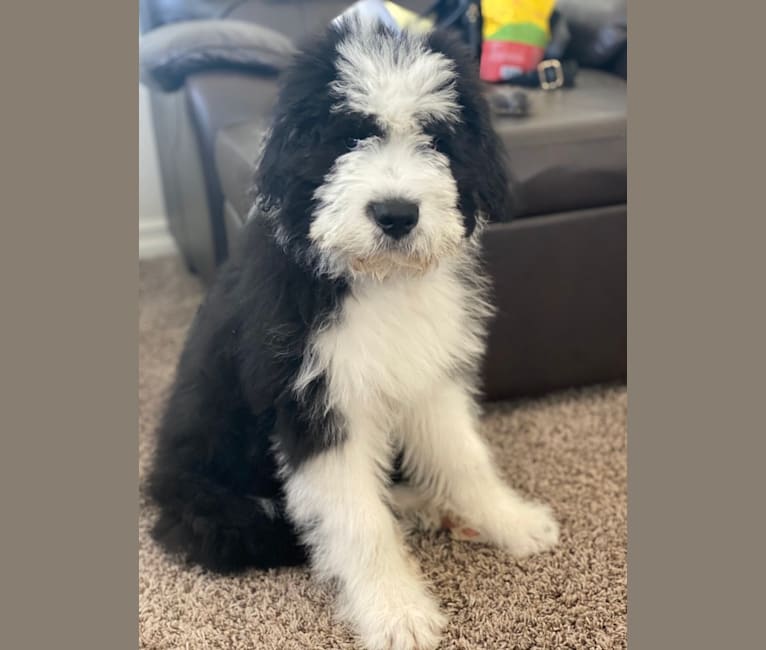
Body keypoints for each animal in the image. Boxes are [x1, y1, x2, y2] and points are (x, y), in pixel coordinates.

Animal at [148, 17, 560, 648]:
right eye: (345, 137)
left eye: (434, 138)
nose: (396, 214)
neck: (377, 281)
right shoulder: (315, 401)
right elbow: (357, 520)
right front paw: (396, 612)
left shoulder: (428, 371)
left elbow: (465, 457)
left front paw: (508, 519)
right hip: (221, 510)